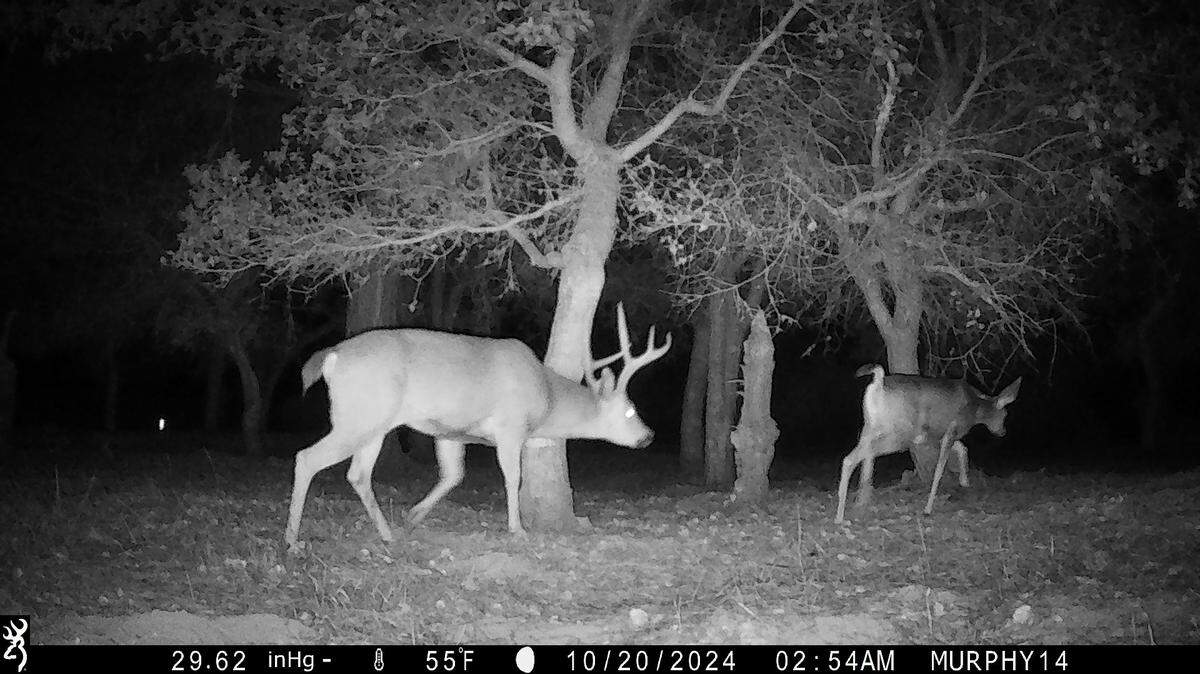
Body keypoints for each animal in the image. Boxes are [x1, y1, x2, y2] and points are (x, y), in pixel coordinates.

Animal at [285, 303, 671, 548]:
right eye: (630, 411)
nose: (649, 436)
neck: (546, 396)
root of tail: (331, 356)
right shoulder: (510, 426)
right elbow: (512, 477)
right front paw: (517, 529)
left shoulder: (449, 432)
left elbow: (453, 475)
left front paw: (414, 515)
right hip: (360, 414)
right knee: (307, 457)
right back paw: (291, 538)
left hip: (374, 423)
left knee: (358, 474)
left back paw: (387, 533)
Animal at [834, 364, 1022, 523]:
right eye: (1005, 414)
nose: (1002, 432)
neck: (976, 408)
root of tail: (878, 384)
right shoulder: (952, 430)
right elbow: (939, 470)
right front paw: (928, 508)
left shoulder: (937, 434)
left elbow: (962, 449)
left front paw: (964, 481)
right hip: (898, 434)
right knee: (852, 458)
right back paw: (840, 515)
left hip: (869, 428)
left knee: (861, 456)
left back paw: (856, 503)